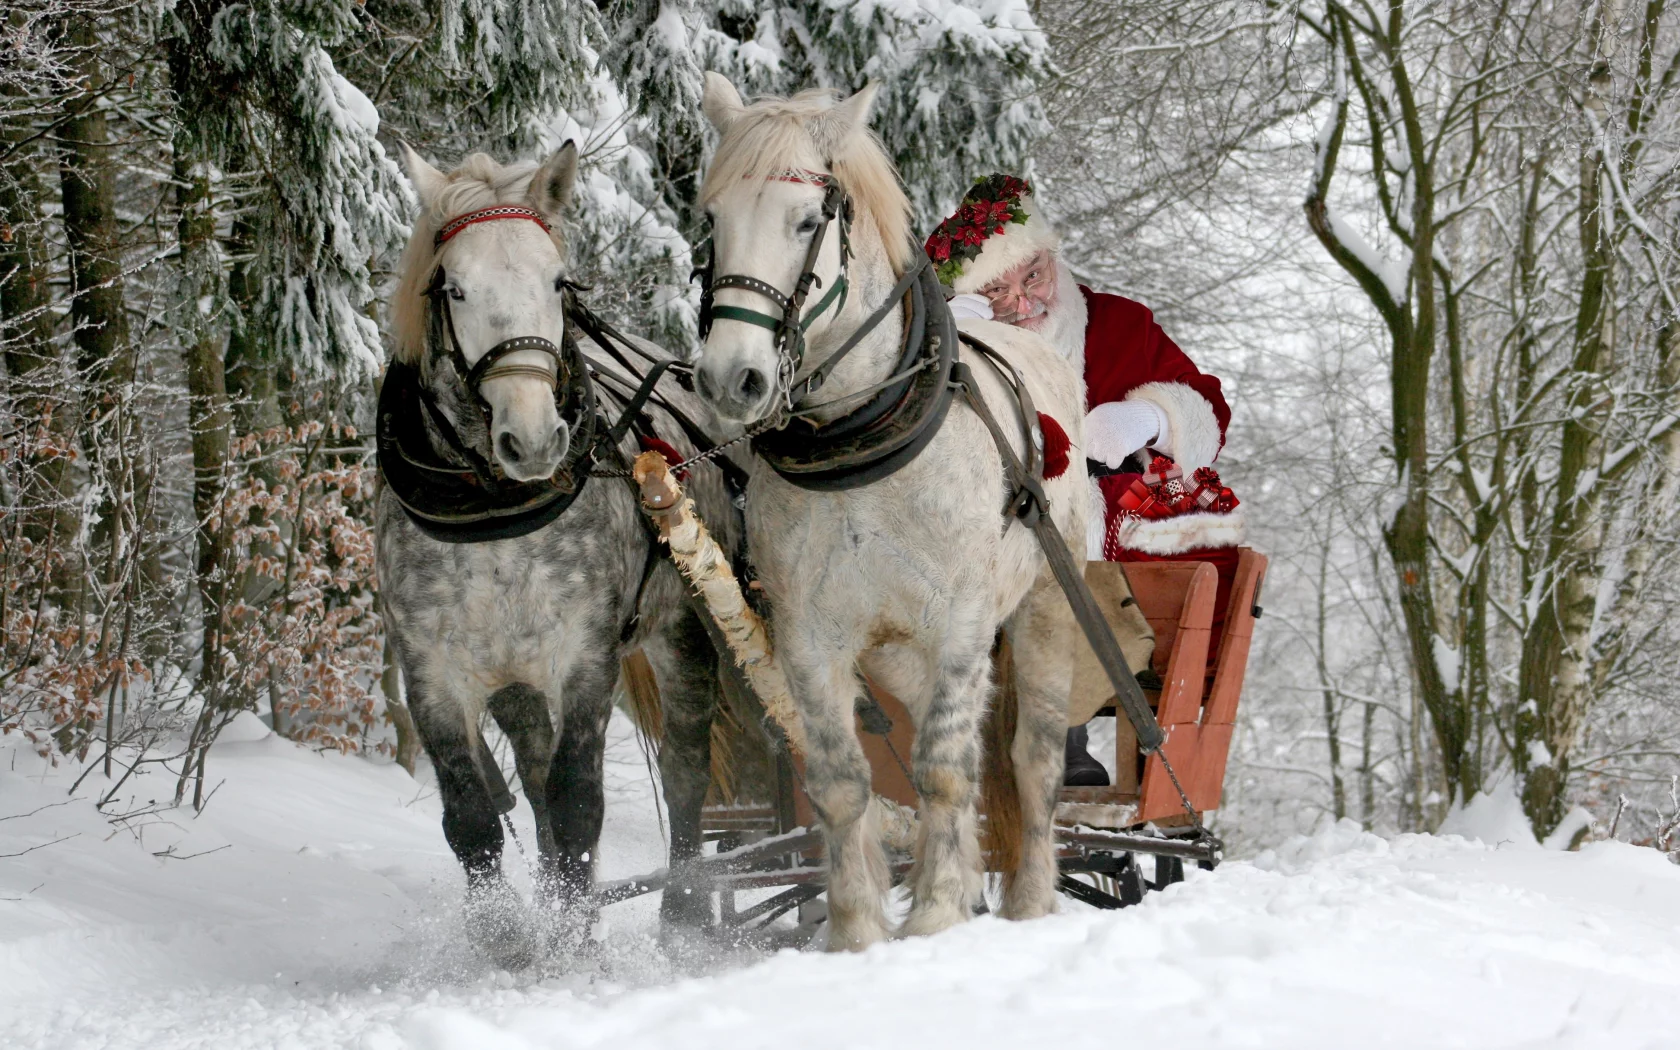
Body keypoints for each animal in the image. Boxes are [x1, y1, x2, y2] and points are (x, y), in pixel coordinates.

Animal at [695, 75, 1088, 947]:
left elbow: (943, 769)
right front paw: (857, 931)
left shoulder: (963, 623)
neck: (861, 441)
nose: (731, 379)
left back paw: (1031, 901)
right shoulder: (809, 636)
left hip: (1046, 613)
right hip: (900, 654)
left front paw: (936, 914)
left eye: (807, 221)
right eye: (712, 220)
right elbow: (844, 781)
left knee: (1032, 759)